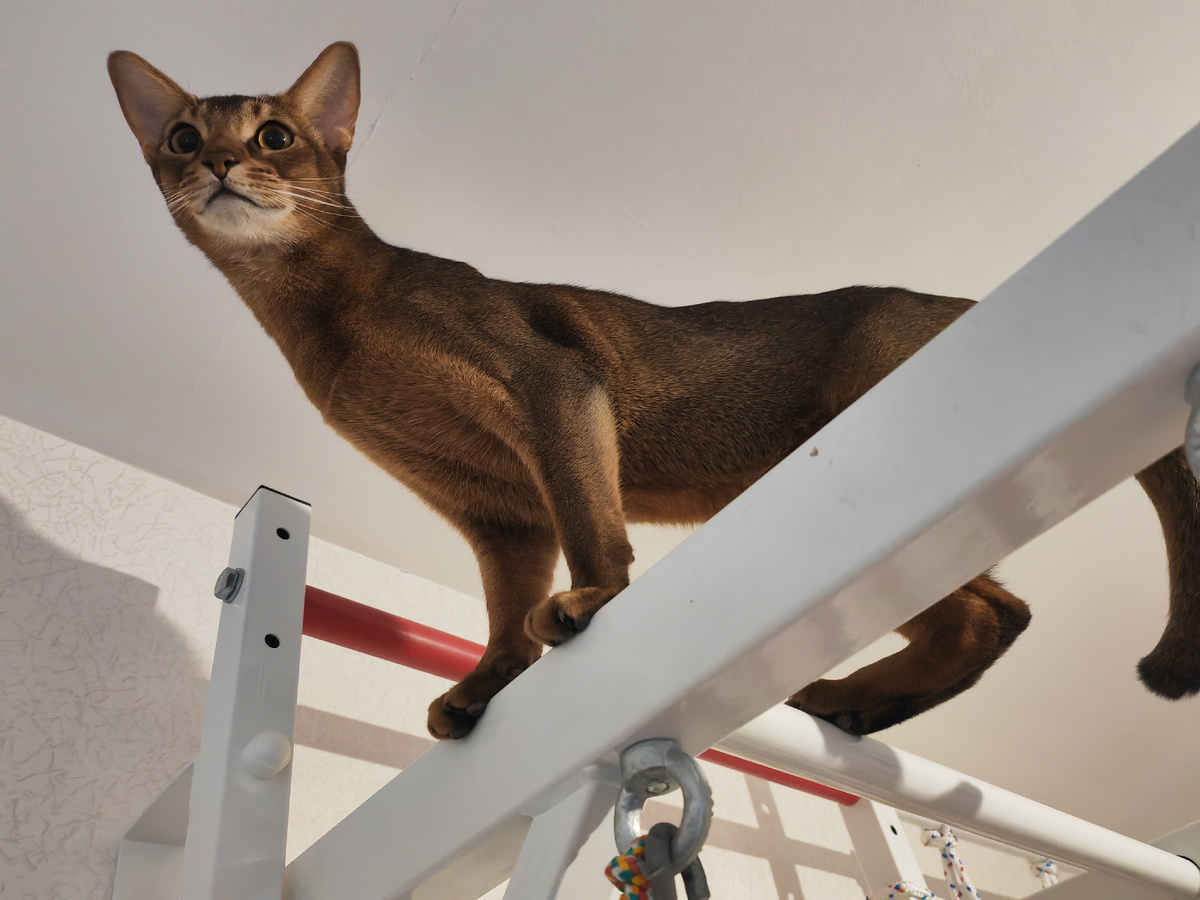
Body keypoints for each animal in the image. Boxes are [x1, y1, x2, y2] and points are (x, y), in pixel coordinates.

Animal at [108, 42, 1200, 740]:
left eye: (276, 136)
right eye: (180, 137)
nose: (220, 162)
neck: (329, 317)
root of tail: (966, 302)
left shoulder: (550, 382)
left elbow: (591, 523)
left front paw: (592, 601)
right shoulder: (493, 510)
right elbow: (504, 609)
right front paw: (483, 686)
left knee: (995, 611)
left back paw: (847, 699)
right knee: (988, 615)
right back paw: (849, 704)